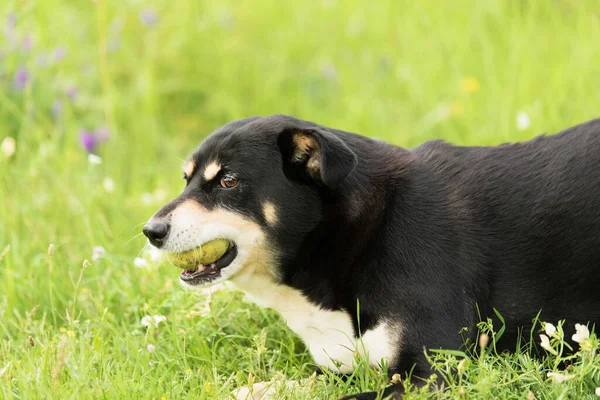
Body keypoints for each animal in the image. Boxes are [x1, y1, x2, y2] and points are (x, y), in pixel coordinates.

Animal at [143, 114, 600, 398]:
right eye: (186, 180)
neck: (360, 236)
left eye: (229, 181)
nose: (150, 232)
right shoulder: (342, 365)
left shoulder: (434, 373)